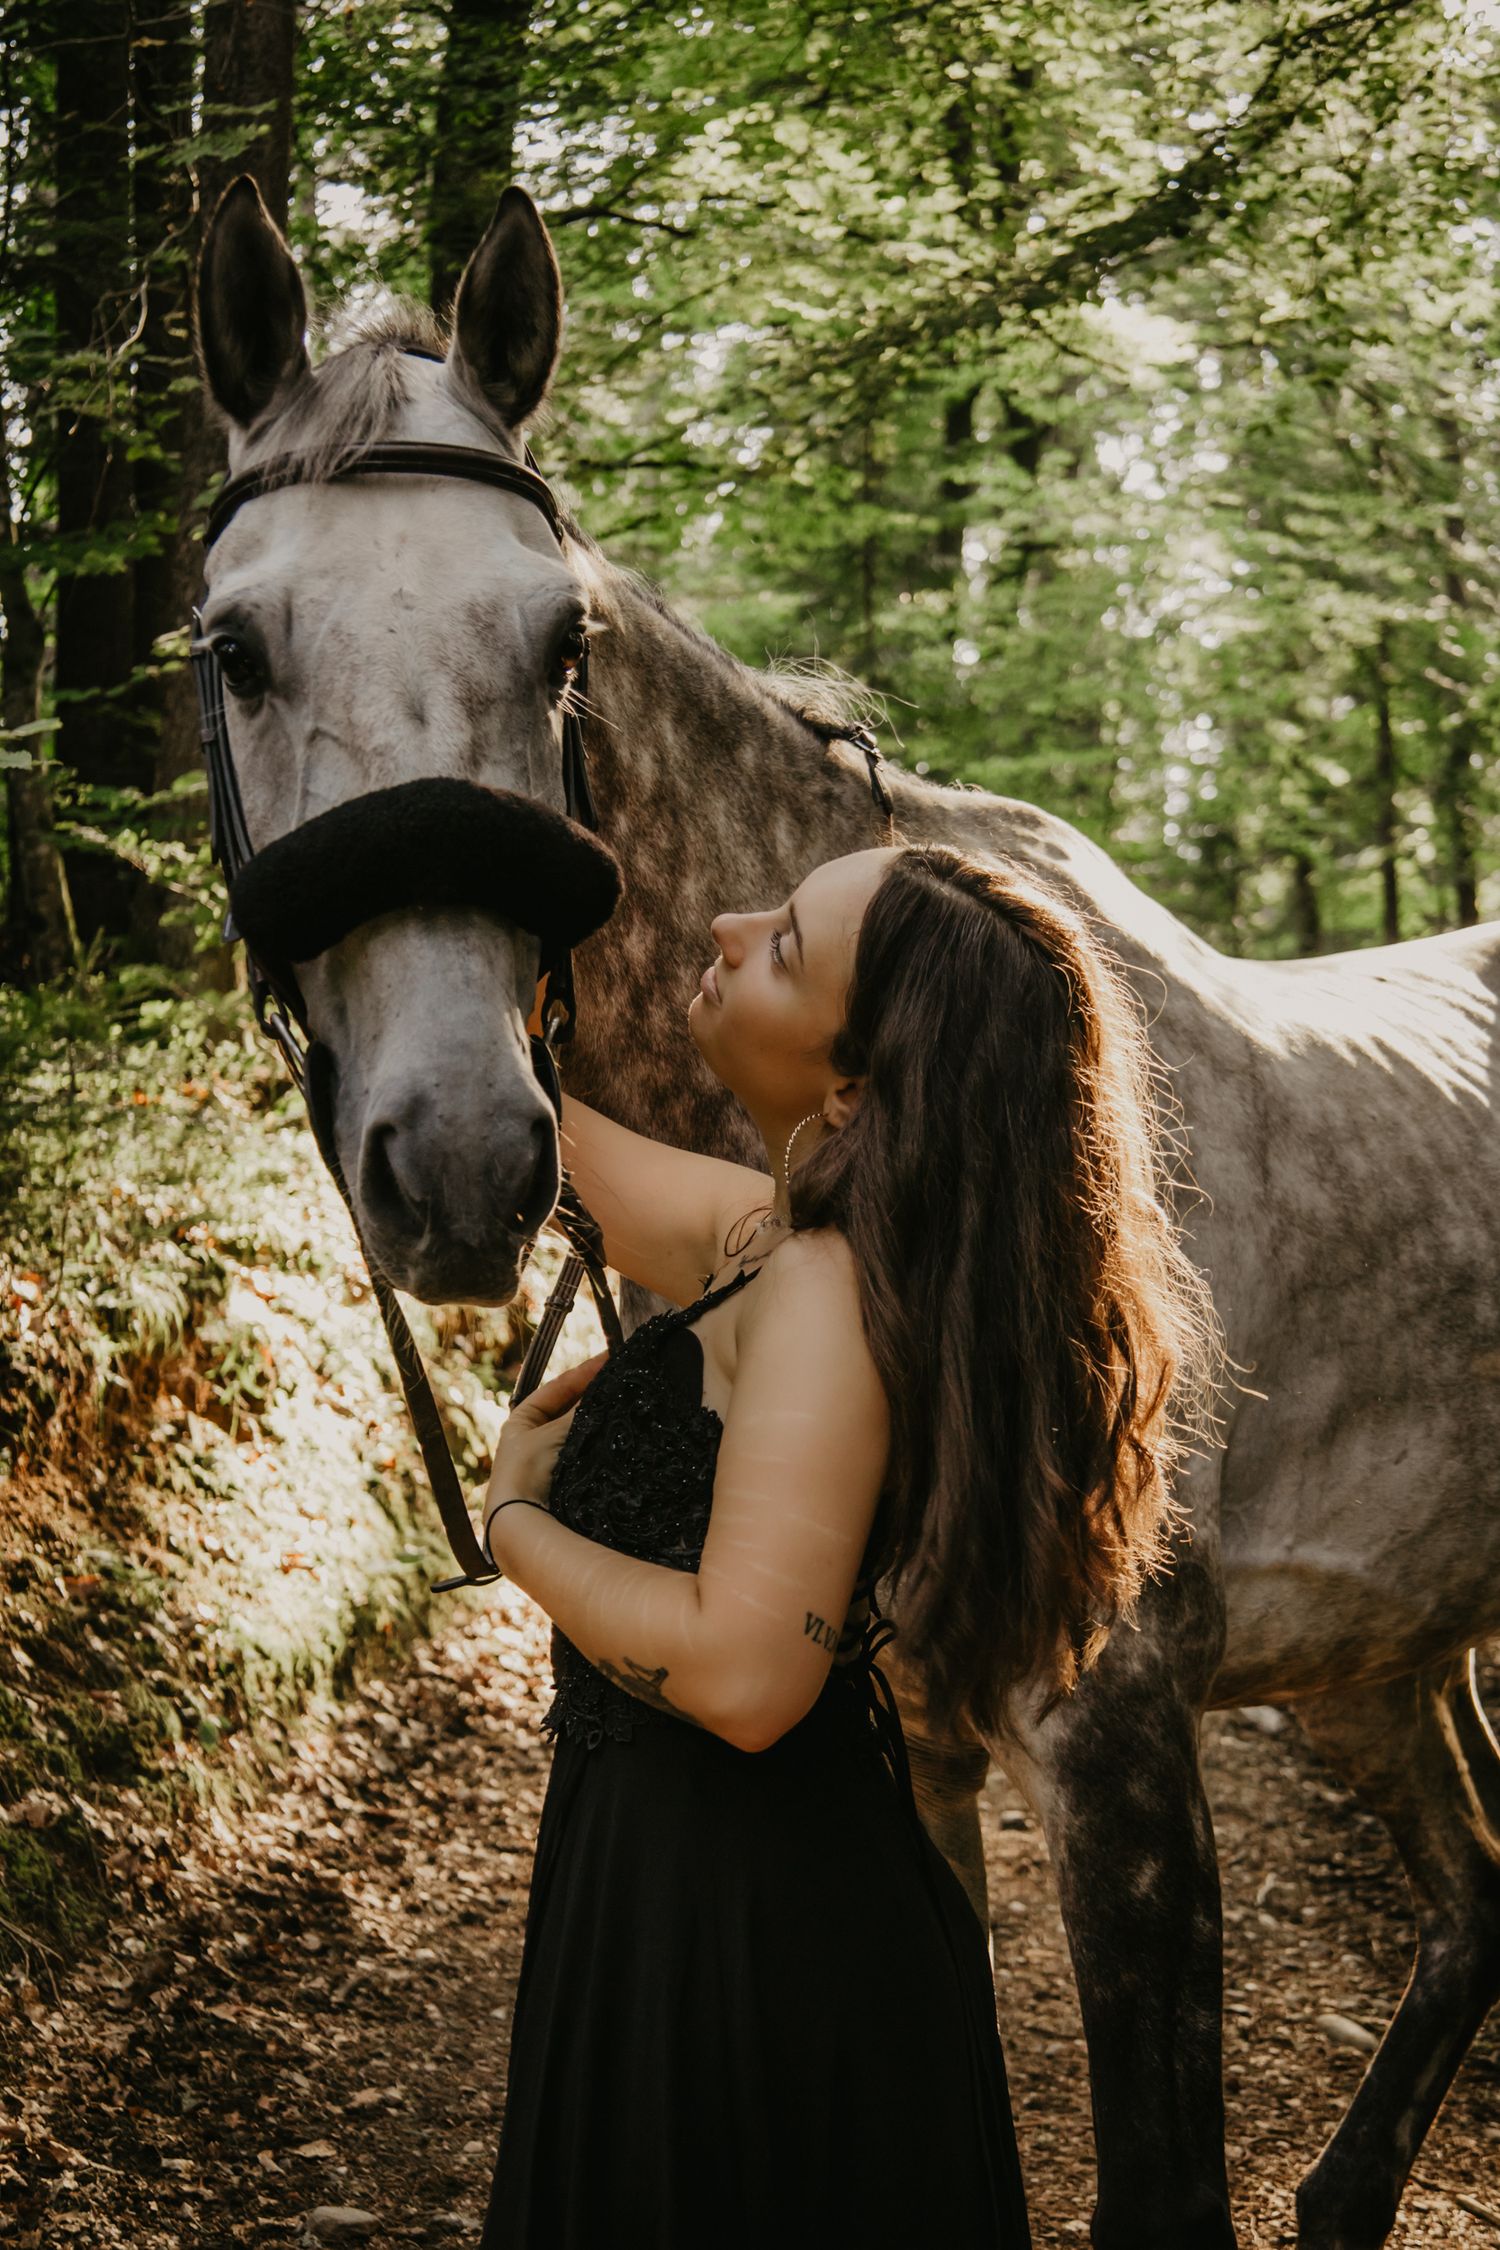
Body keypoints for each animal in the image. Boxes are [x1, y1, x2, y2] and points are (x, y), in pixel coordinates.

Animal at [193, 176, 1500, 2250]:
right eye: (236, 648)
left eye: (560, 643)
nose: (467, 1153)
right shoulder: (914, 1751)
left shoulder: (1122, 1752)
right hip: (1389, 1657)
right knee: (1475, 1904)